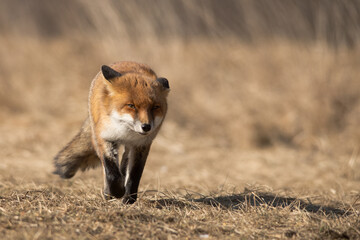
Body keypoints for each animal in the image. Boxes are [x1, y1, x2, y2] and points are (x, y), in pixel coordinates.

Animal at [53, 61, 170, 203]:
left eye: (155, 107)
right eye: (131, 106)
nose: (146, 126)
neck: (125, 132)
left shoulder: (141, 145)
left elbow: (134, 175)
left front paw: (129, 199)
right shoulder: (105, 137)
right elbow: (111, 172)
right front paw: (117, 191)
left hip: (129, 147)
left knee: (124, 163)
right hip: (97, 137)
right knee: (107, 170)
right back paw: (108, 194)